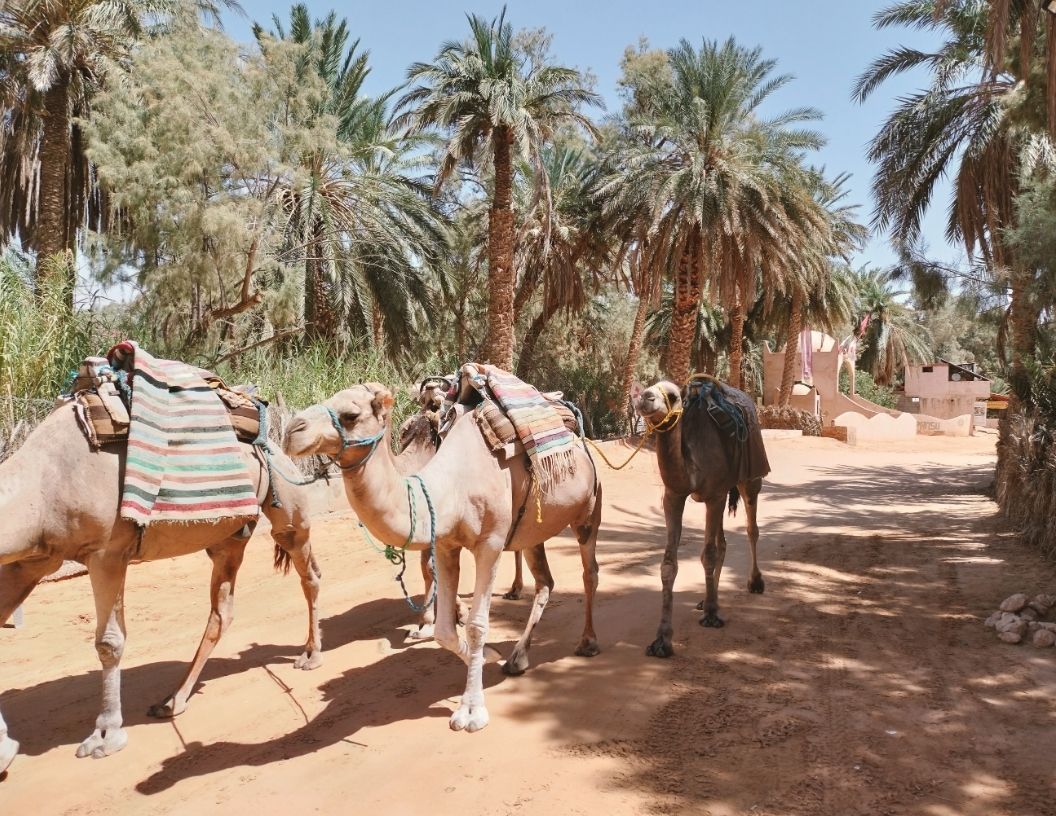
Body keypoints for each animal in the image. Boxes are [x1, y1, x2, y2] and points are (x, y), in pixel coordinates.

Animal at [0, 400, 320, 770]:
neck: (43, 484)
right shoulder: (30, 562)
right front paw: (5, 749)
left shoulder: (107, 553)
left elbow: (109, 642)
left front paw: (106, 735)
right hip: (228, 537)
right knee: (222, 611)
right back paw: (172, 701)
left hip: (286, 505)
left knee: (308, 573)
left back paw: (311, 655)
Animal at [284, 381, 602, 732]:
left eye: (351, 415)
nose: (291, 430)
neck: (449, 487)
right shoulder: (446, 545)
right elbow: (444, 631)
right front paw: (488, 655)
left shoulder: (490, 544)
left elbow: (477, 625)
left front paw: (471, 711)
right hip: (534, 529)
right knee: (545, 582)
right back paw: (517, 657)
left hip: (589, 510)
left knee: (589, 572)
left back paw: (588, 642)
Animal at [633, 379, 768, 658]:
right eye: (649, 387)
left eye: (673, 396)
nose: (646, 398)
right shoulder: (673, 496)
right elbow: (668, 565)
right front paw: (662, 640)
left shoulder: (714, 495)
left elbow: (708, 554)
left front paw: (712, 616)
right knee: (724, 542)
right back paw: (708, 598)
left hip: (749, 480)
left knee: (752, 529)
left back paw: (755, 582)